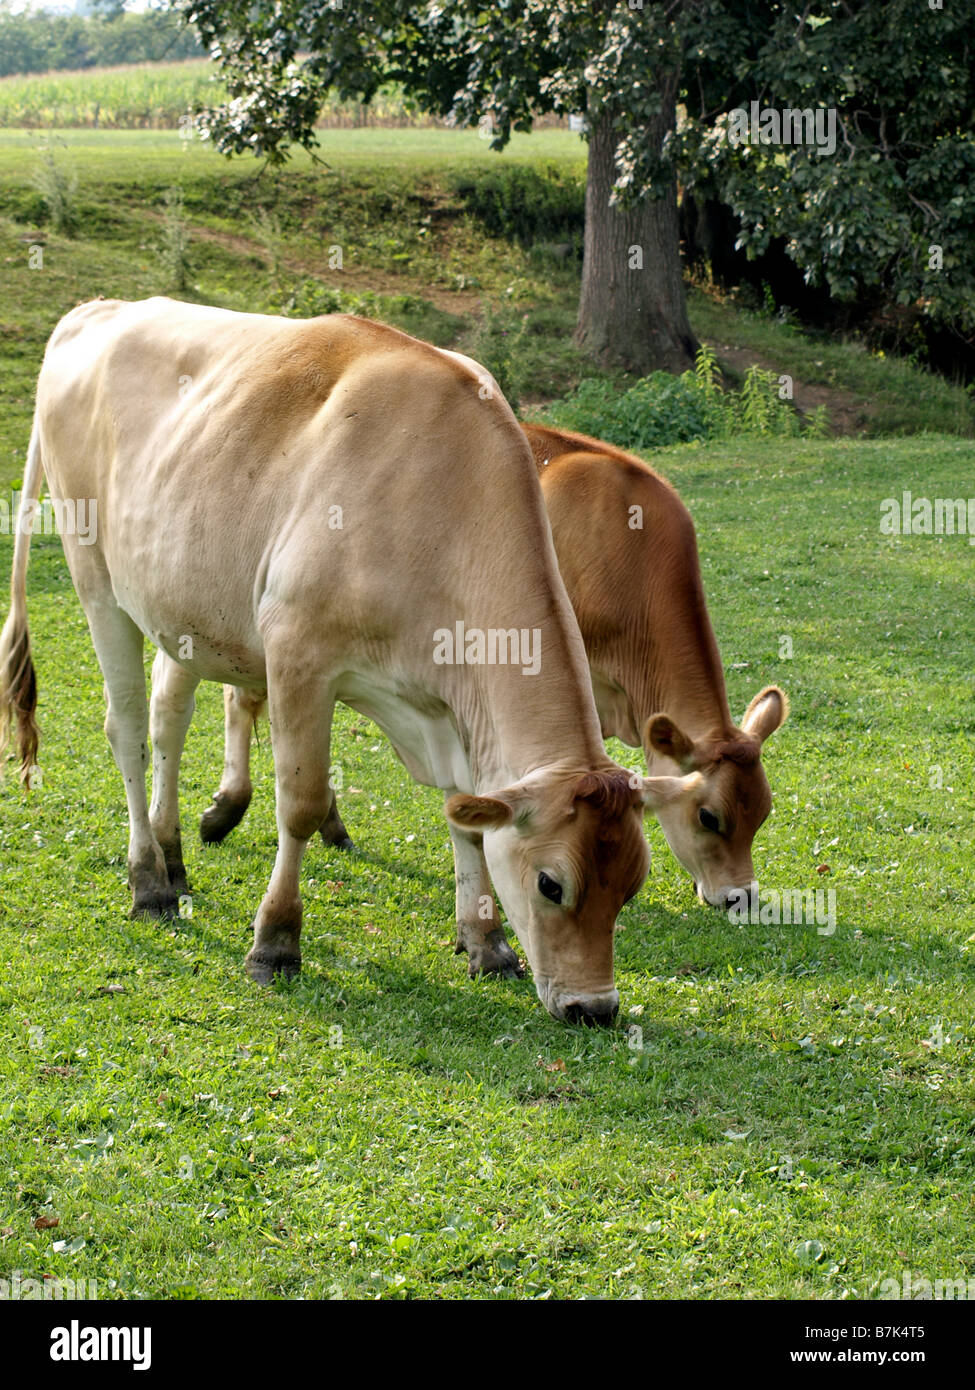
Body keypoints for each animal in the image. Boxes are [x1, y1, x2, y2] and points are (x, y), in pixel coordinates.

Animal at [0, 298, 692, 1028]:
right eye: (551, 883)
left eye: (633, 885)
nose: (595, 1006)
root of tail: (97, 308)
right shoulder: (297, 654)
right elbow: (301, 805)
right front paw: (275, 941)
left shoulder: (446, 705)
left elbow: (464, 817)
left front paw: (486, 941)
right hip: (95, 577)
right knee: (128, 728)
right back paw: (148, 881)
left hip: (177, 603)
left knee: (168, 720)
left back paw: (173, 855)